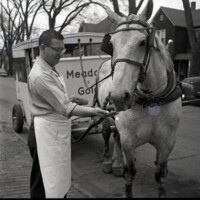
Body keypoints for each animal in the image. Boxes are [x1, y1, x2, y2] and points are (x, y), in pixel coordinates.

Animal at [97, 0, 183, 197]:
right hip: (105, 114)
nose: (119, 96)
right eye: (111, 44)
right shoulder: (129, 140)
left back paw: (116, 164)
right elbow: (129, 175)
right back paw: (108, 162)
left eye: (143, 42)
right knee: (106, 134)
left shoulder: (167, 143)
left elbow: (161, 176)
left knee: (116, 134)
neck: (152, 101)